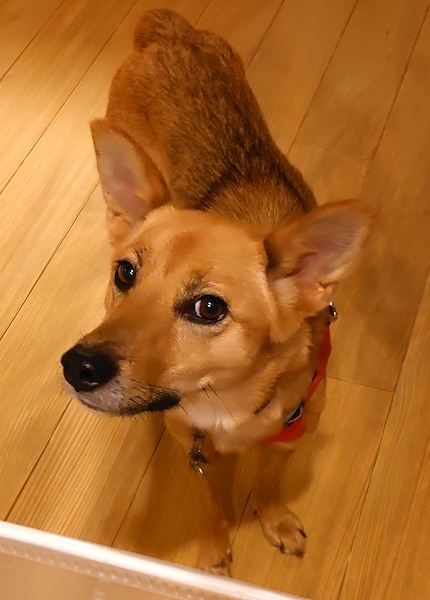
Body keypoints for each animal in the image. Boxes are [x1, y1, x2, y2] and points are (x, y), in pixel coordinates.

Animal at [61, 9, 372, 575]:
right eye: (126, 274)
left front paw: (275, 519)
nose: (78, 367)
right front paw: (212, 557)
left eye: (209, 308)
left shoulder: (292, 436)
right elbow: (210, 506)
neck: (229, 402)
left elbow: (269, 482)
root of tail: (171, 33)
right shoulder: (196, 450)